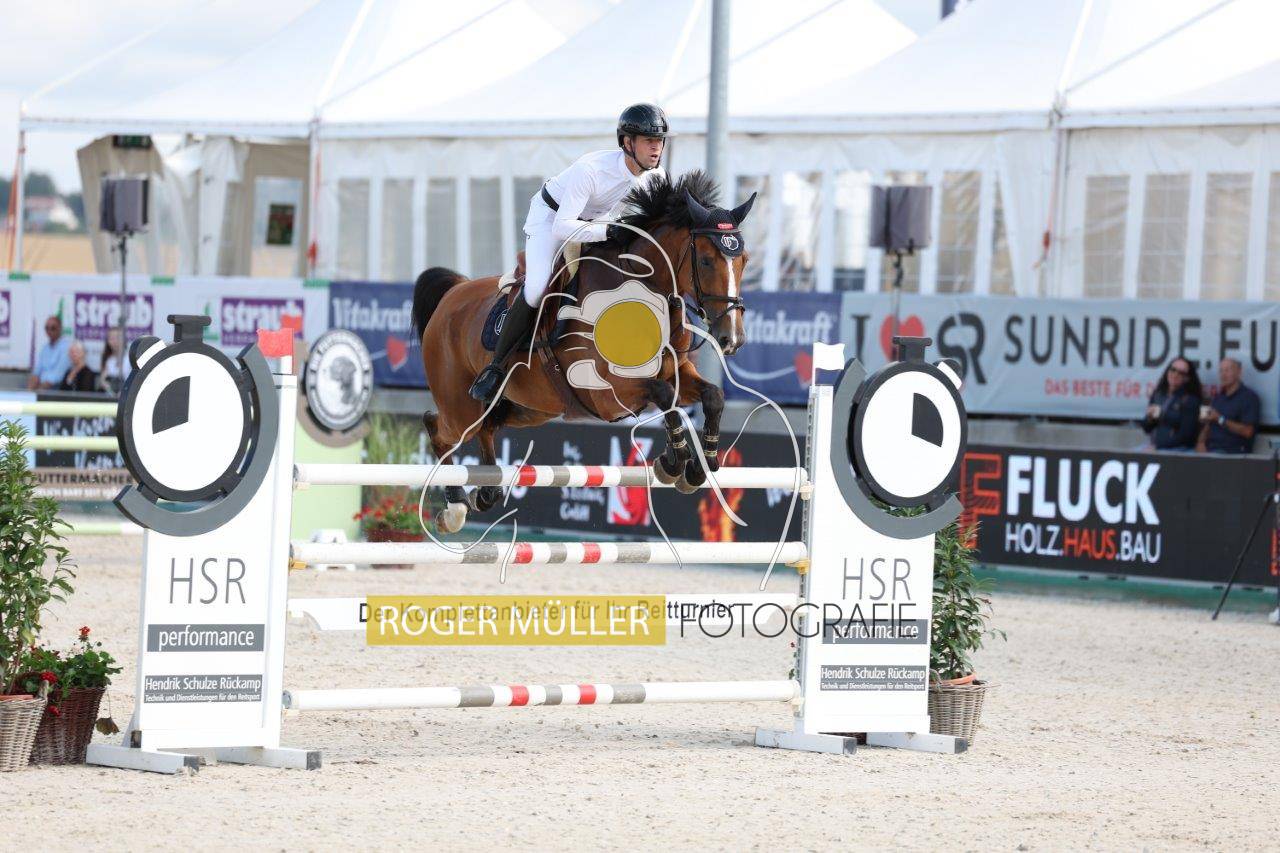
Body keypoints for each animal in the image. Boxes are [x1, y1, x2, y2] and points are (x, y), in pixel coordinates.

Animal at [412, 170, 756, 533]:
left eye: (744, 261)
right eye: (705, 260)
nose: (732, 338)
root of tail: (454, 293)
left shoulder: (677, 371)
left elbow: (712, 396)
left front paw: (699, 466)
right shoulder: (606, 394)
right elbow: (663, 395)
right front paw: (674, 462)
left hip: (528, 408)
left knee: (486, 429)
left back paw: (486, 492)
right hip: (461, 407)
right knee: (439, 427)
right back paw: (455, 507)